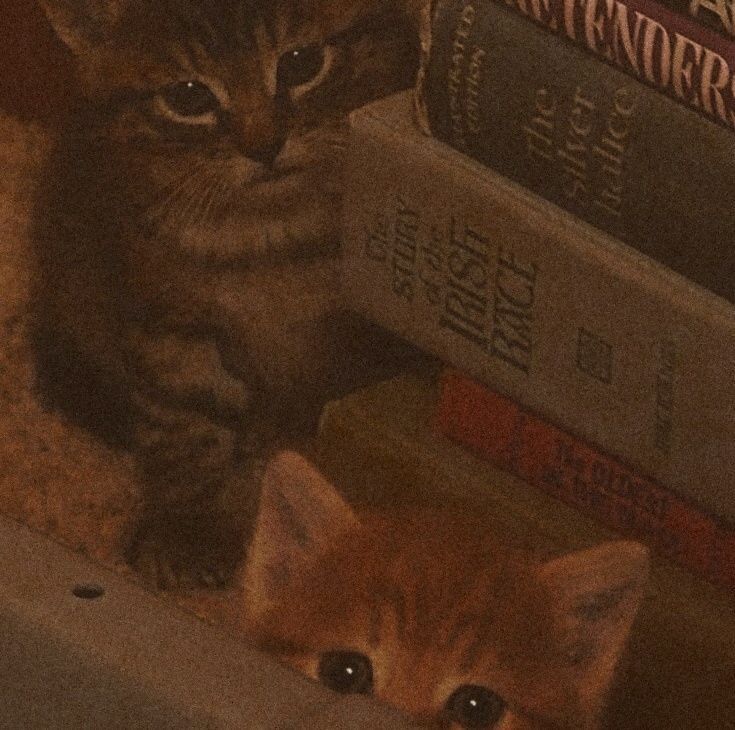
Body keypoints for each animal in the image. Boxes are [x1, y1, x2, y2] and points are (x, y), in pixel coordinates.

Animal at [31, 0, 422, 584]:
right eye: (189, 96)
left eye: (301, 62)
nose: (264, 146)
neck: (266, 234)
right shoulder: (167, 325)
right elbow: (187, 427)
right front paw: (192, 528)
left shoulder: (356, 339)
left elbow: (308, 416)